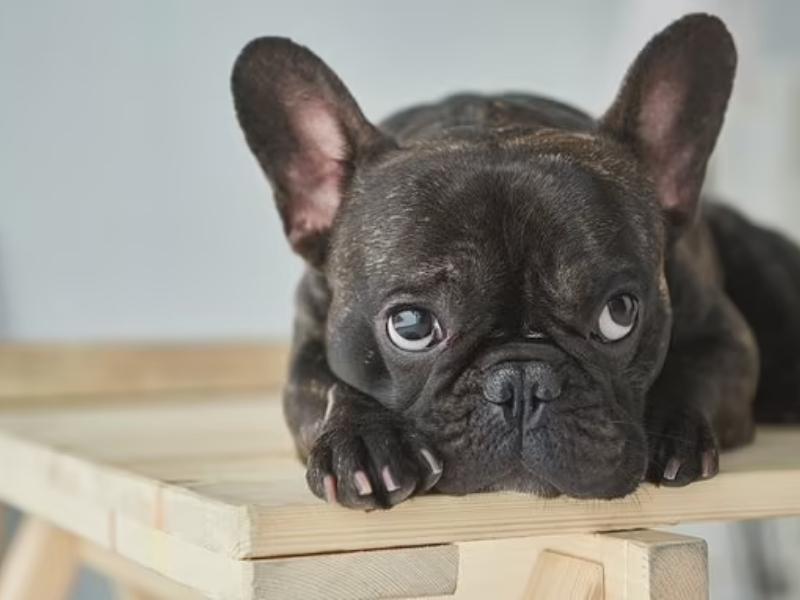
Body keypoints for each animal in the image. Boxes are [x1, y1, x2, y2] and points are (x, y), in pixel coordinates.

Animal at [230, 14, 800, 508]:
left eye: (618, 314)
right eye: (411, 326)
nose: (522, 383)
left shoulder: (727, 339)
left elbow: (696, 370)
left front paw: (673, 430)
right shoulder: (306, 347)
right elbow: (326, 385)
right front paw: (362, 442)